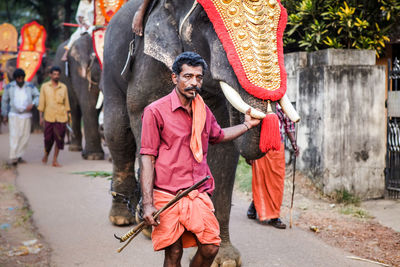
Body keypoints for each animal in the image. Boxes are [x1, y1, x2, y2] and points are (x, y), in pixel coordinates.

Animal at [101, 0, 298, 264]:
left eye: (281, 21)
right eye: (205, 19)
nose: (262, 114)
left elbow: (223, 142)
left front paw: (224, 259)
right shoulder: (147, 65)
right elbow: (144, 127)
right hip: (111, 63)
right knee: (117, 131)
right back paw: (125, 219)